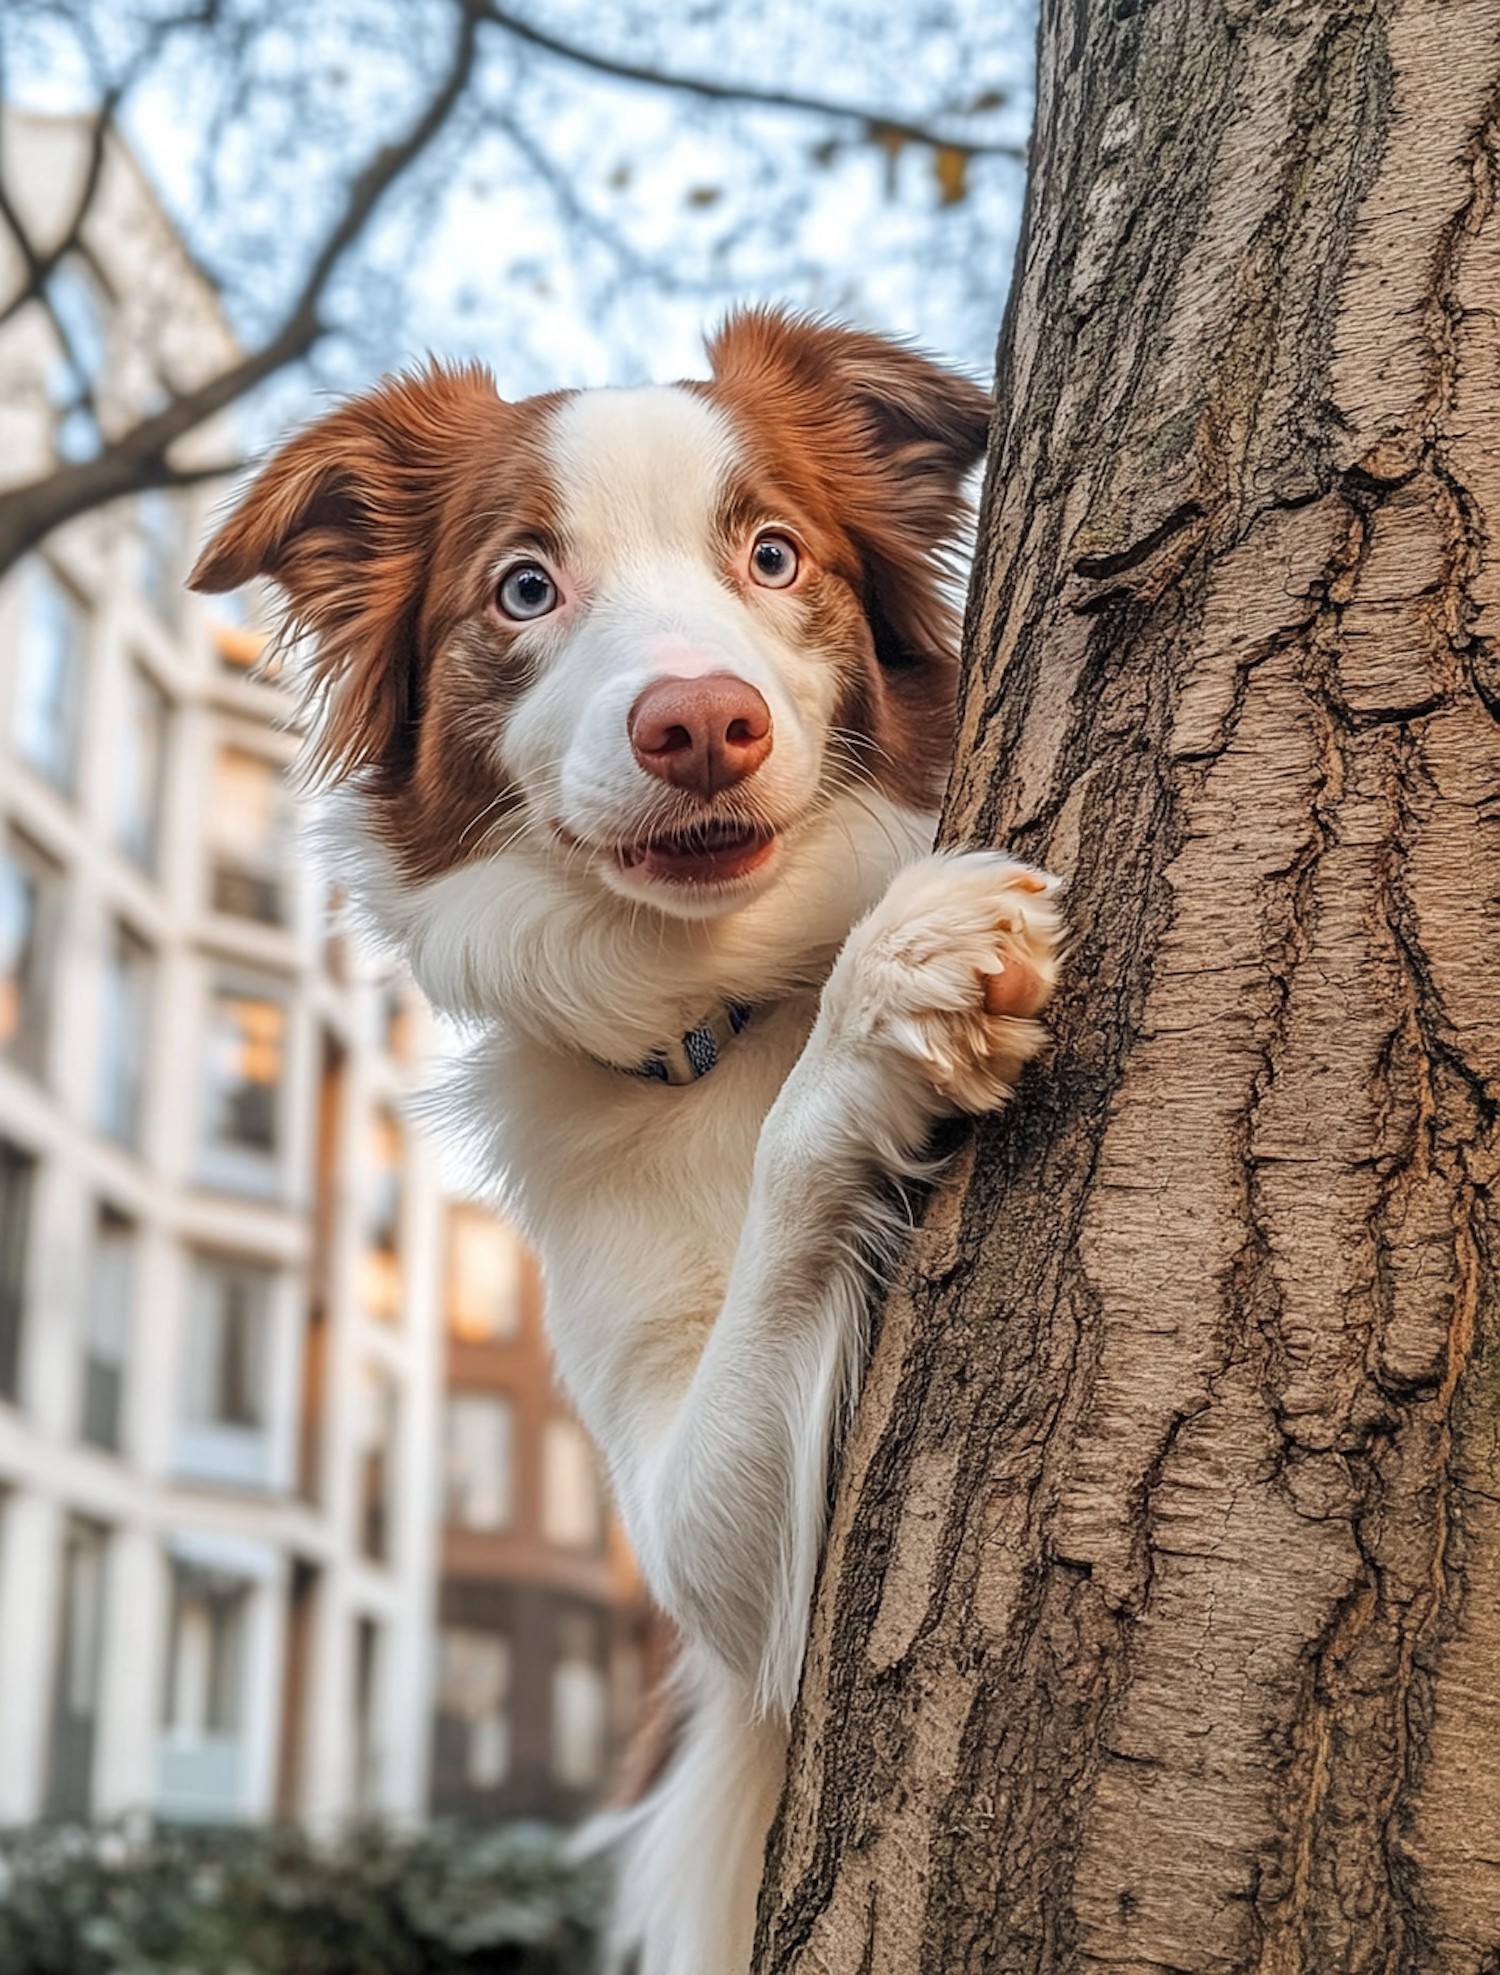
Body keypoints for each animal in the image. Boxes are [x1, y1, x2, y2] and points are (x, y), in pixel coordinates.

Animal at [190, 312, 1067, 1975]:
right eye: (526, 586)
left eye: (774, 554)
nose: (703, 721)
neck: (724, 995)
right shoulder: (697, 1553)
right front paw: (894, 987)